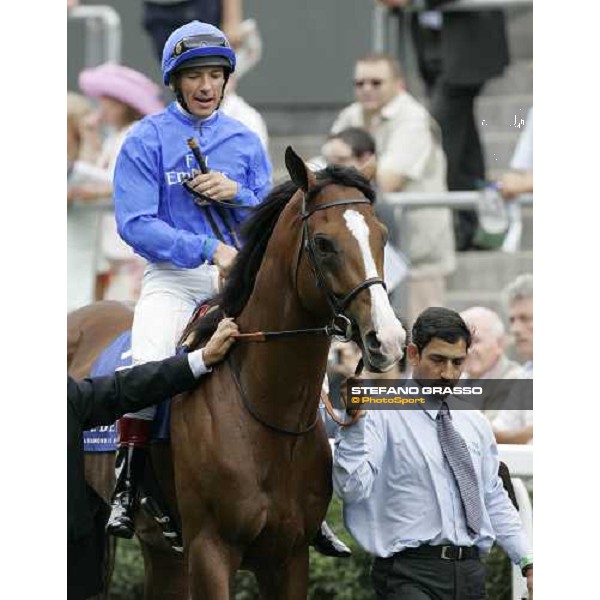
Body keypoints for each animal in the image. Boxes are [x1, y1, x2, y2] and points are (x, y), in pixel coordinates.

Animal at [69, 146, 408, 600]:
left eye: (382, 237)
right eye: (323, 243)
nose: (387, 338)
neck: (268, 415)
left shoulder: (289, 557)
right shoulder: (210, 550)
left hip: (162, 552)